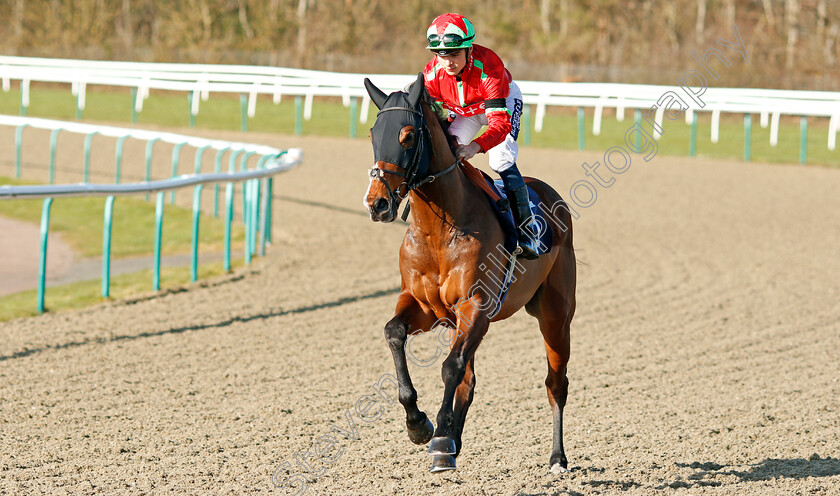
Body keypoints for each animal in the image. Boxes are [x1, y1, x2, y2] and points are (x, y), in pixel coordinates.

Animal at [362, 73, 576, 472]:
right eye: (372, 133)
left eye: (408, 135)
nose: (377, 203)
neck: (439, 231)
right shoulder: (425, 306)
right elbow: (394, 333)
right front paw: (419, 424)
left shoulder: (475, 306)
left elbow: (451, 367)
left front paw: (438, 433)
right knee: (470, 380)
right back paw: (451, 444)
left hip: (555, 315)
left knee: (556, 383)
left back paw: (557, 457)